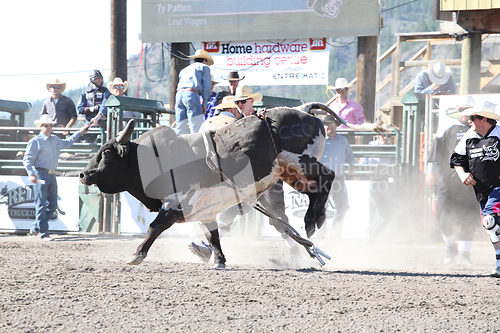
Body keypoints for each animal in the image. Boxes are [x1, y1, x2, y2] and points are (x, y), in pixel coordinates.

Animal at [79, 105, 336, 266]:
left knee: (328, 177)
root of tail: (305, 112)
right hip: (290, 173)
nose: (83, 174)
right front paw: (219, 259)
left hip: (301, 163)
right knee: (307, 198)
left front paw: (136, 254)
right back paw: (311, 225)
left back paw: (313, 220)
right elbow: (213, 234)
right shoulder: (205, 210)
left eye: (107, 153)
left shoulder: (176, 203)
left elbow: (155, 226)